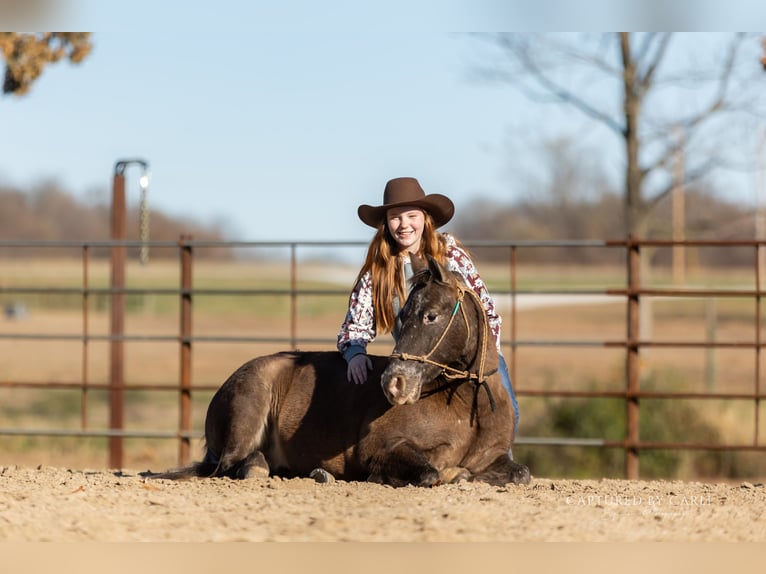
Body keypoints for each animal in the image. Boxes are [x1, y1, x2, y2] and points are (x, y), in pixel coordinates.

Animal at [154, 255, 530, 486]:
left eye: (431, 315)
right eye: (402, 315)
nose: (394, 383)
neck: (468, 406)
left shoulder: (494, 457)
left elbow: (521, 474)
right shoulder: (383, 448)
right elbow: (428, 472)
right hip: (248, 413)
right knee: (237, 465)